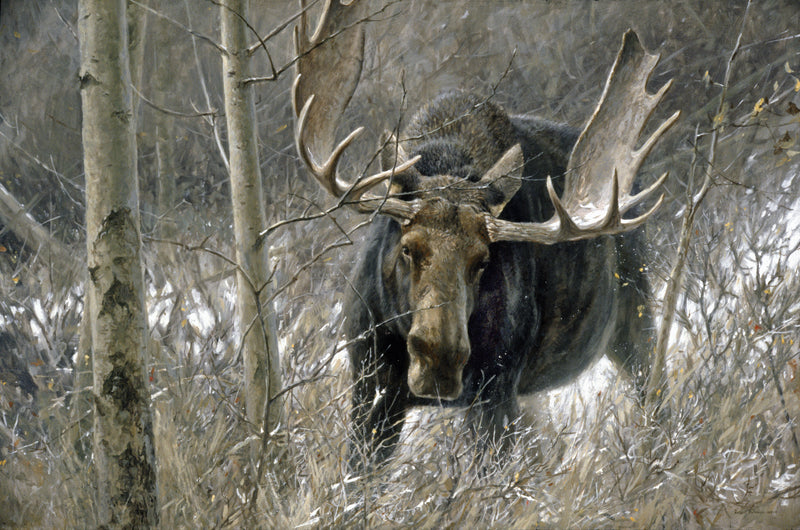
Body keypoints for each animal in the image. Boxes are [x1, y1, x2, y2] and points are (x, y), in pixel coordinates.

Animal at [292, 1, 679, 465]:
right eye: (407, 248)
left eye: (483, 261)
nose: (440, 362)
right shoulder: (370, 388)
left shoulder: (495, 391)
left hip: (635, 322)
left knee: (656, 395)